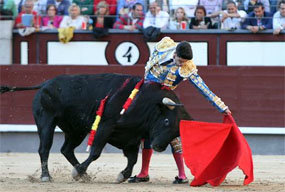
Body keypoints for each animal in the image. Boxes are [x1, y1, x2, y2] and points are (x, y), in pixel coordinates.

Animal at [0, 73, 192, 183]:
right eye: (166, 121)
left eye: (177, 131)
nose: (158, 146)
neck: (145, 103)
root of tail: (44, 84)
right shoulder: (105, 126)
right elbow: (96, 152)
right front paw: (78, 172)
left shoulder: (131, 137)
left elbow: (133, 159)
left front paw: (122, 175)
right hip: (46, 121)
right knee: (44, 148)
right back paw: (46, 176)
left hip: (76, 130)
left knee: (66, 149)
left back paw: (83, 174)